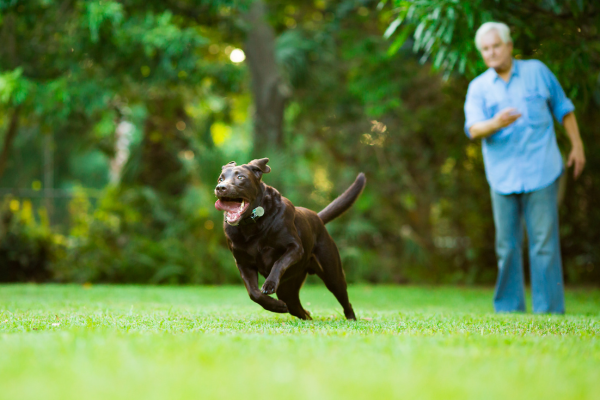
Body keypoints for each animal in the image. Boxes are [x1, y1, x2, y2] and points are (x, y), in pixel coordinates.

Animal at [216, 158, 366, 320]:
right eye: (221, 178)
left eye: (240, 177)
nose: (220, 188)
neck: (253, 226)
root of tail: (318, 217)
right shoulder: (244, 264)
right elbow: (254, 293)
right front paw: (276, 306)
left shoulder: (295, 247)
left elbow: (279, 262)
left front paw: (269, 284)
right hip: (288, 288)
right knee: (296, 308)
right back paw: (304, 314)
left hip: (332, 274)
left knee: (344, 299)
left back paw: (351, 318)